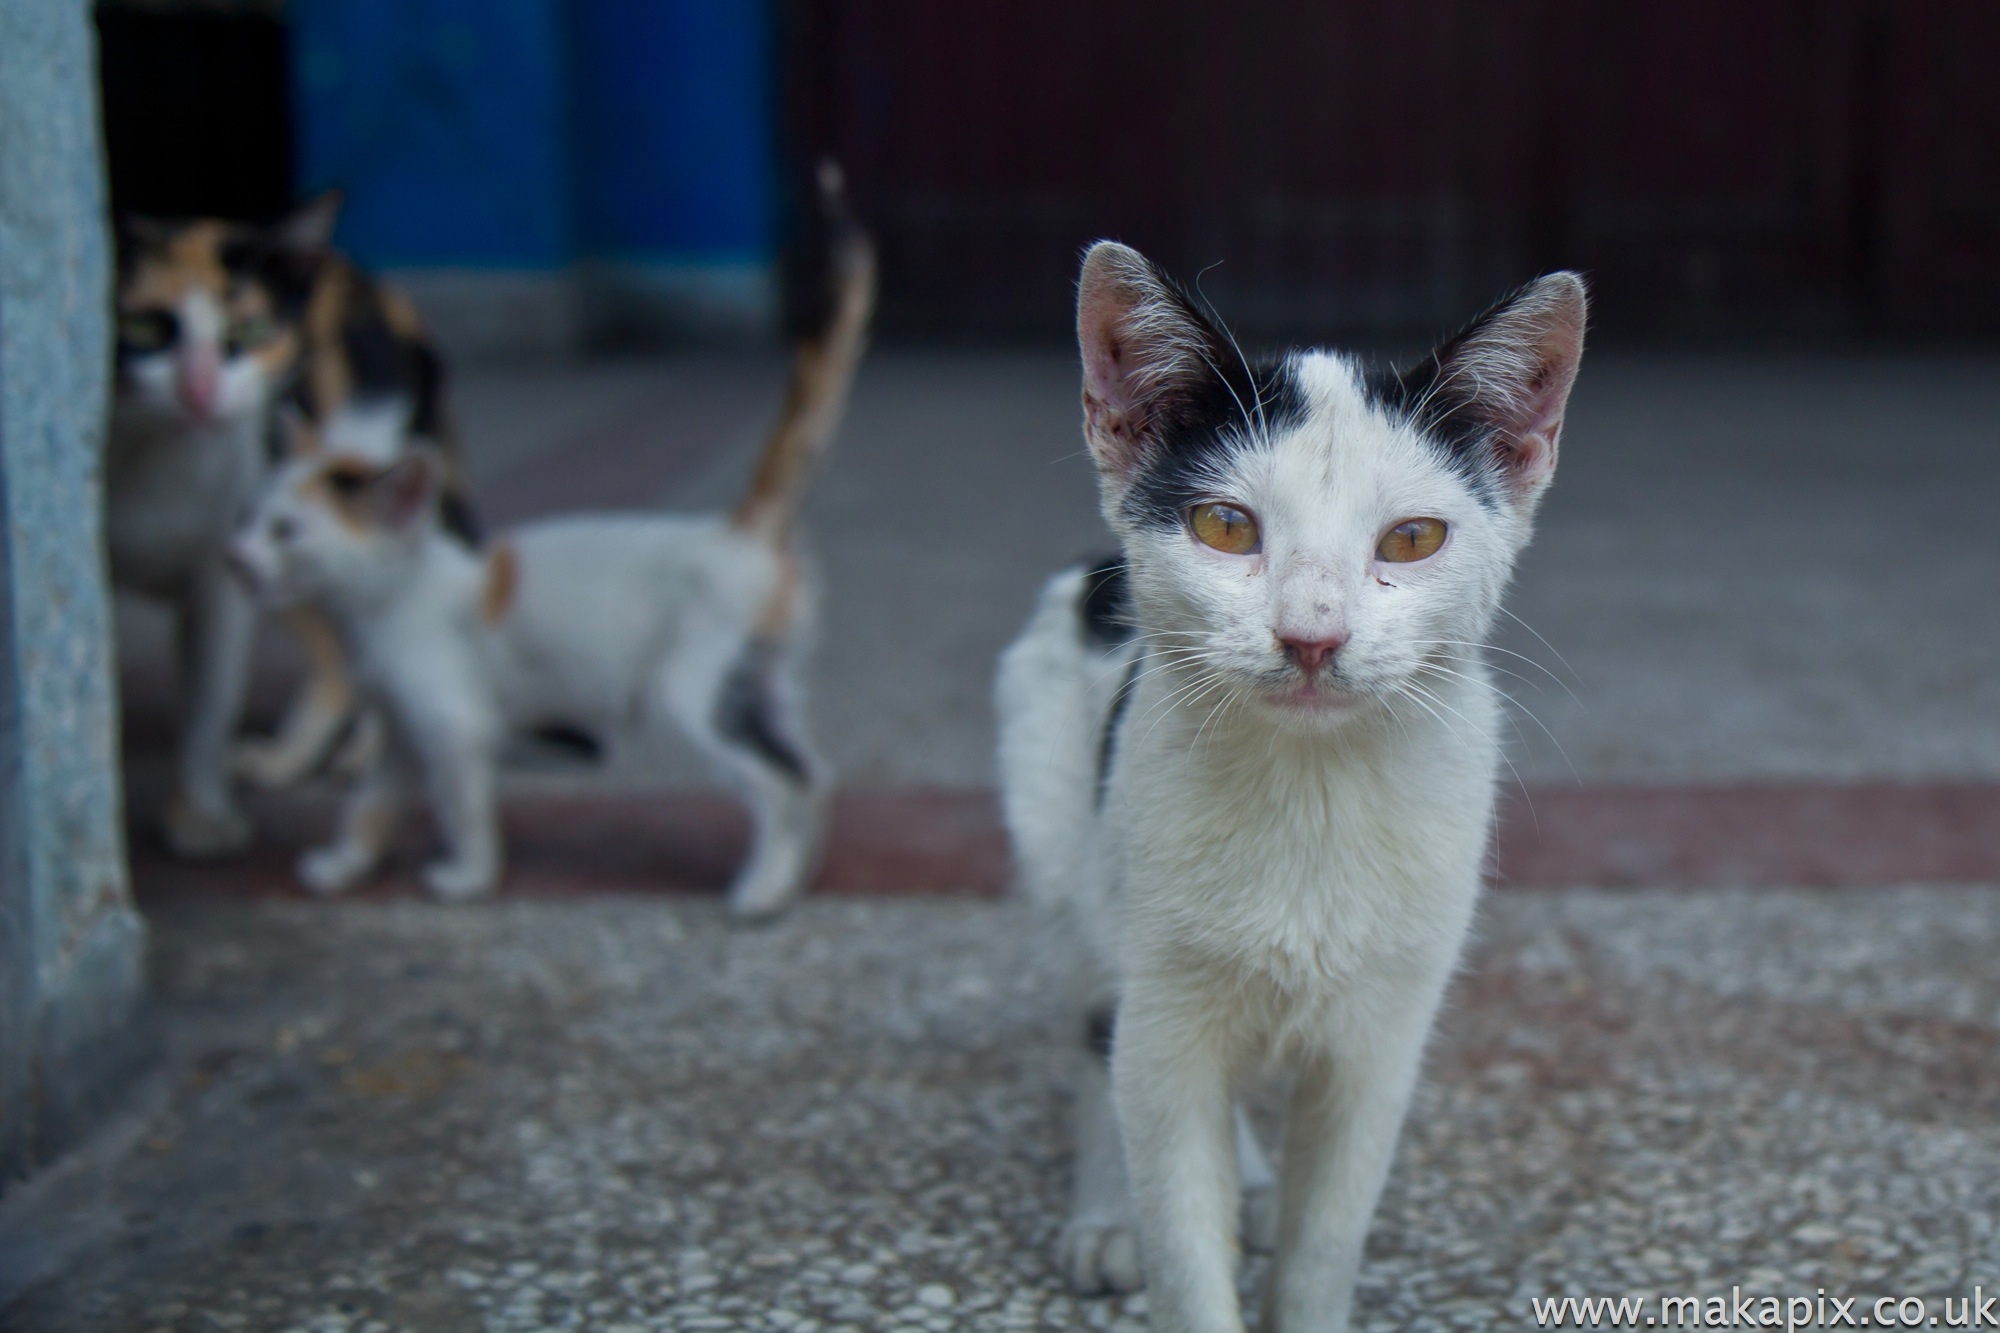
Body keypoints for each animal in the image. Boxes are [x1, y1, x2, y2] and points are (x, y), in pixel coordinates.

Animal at [111, 200, 478, 852]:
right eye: (147, 329)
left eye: (250, 333)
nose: (199, 393)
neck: (153, 453)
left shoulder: (223, 571)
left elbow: (210, 699)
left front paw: (201, 819)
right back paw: (301, 756)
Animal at [227, 166, 876, 912]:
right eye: (250, 515)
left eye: (287, 531)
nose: (237, 558)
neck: (386, 601)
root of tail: (738, 527)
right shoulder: (399, 728)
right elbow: (371, 802)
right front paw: (342, 865)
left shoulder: (452, 719)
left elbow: (463, 806)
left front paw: (468, 878)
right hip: (757, 679)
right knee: (810, 771)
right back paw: (797, 871)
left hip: (695, 685)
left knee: (777, 781)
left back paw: (763, 889)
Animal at [992, 244, 1584, 1320]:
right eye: (1225, 526)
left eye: (1410, 539)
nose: (1312, 636)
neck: (1311, 785)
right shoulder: (1165, 1022)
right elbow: (1181, 1235)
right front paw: (1163, 1233)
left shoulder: (1380, 1043)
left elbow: (1324, 1240)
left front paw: (1293, 1253)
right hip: (1065, 854)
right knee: (1096, 1030)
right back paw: (1107, 1211)